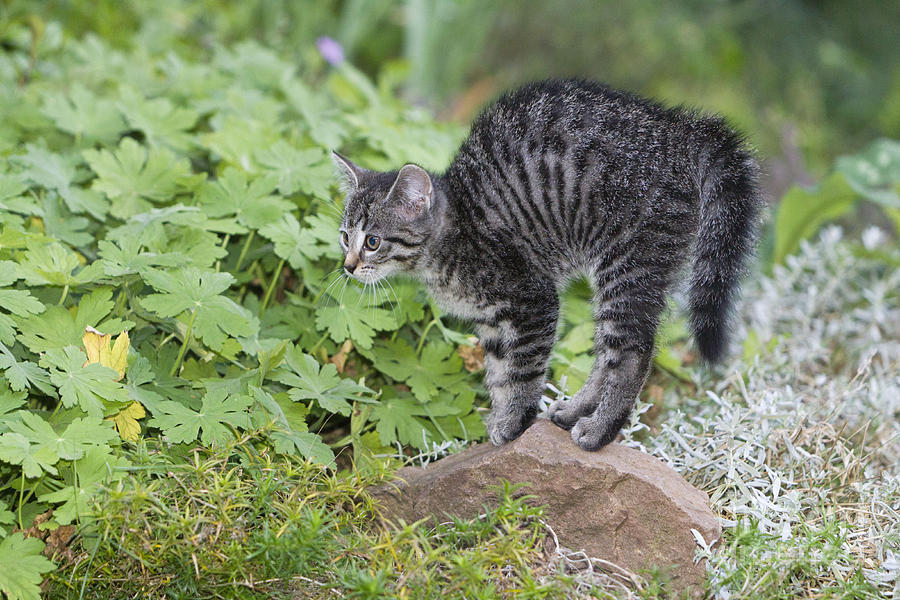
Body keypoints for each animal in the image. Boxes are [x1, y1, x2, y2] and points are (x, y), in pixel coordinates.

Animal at [334, 78, 764, 450]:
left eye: (372, 242)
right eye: (344, 236)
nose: (348, 266)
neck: (453, 235)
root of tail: (676, 128)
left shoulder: (533, 299)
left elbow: (522, 370)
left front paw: (515, 420)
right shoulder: (492, 322)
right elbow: (499, 373)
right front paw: (499, 417)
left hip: (629, 263)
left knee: (632, 352)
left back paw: (599, 429)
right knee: (606, 351)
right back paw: (575, 410)